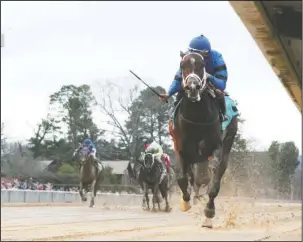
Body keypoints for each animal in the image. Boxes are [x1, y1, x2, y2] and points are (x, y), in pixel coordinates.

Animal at [170, 52, 227, 228]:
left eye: (202, 65)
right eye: (183, 65)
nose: (193, 87)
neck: (197, 117)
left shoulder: (216, 148)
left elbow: (214, 177)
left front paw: (209, 212)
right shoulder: (180, 149)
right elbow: (182, 178)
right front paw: (185, 203)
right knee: (190, 177)